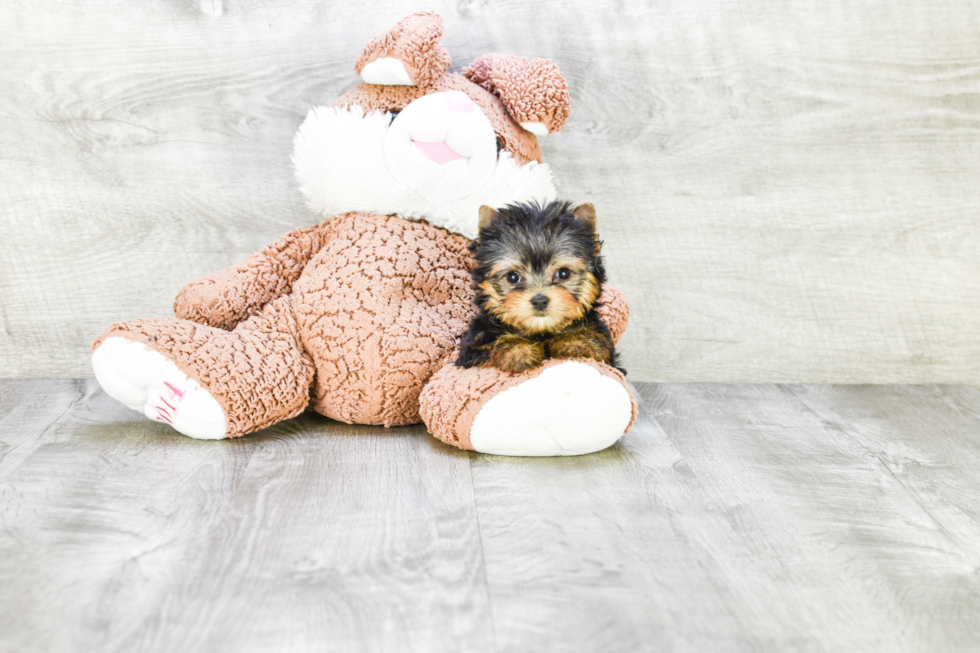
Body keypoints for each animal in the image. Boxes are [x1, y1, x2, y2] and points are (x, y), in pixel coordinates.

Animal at [458, 199, 624, 374]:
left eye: (563, 273)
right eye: (512, 277)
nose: (539, 300)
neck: (541, 331)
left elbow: (594, 341)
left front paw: (576, 341)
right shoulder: (474, 348)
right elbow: (490, 349)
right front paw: (518, 350)